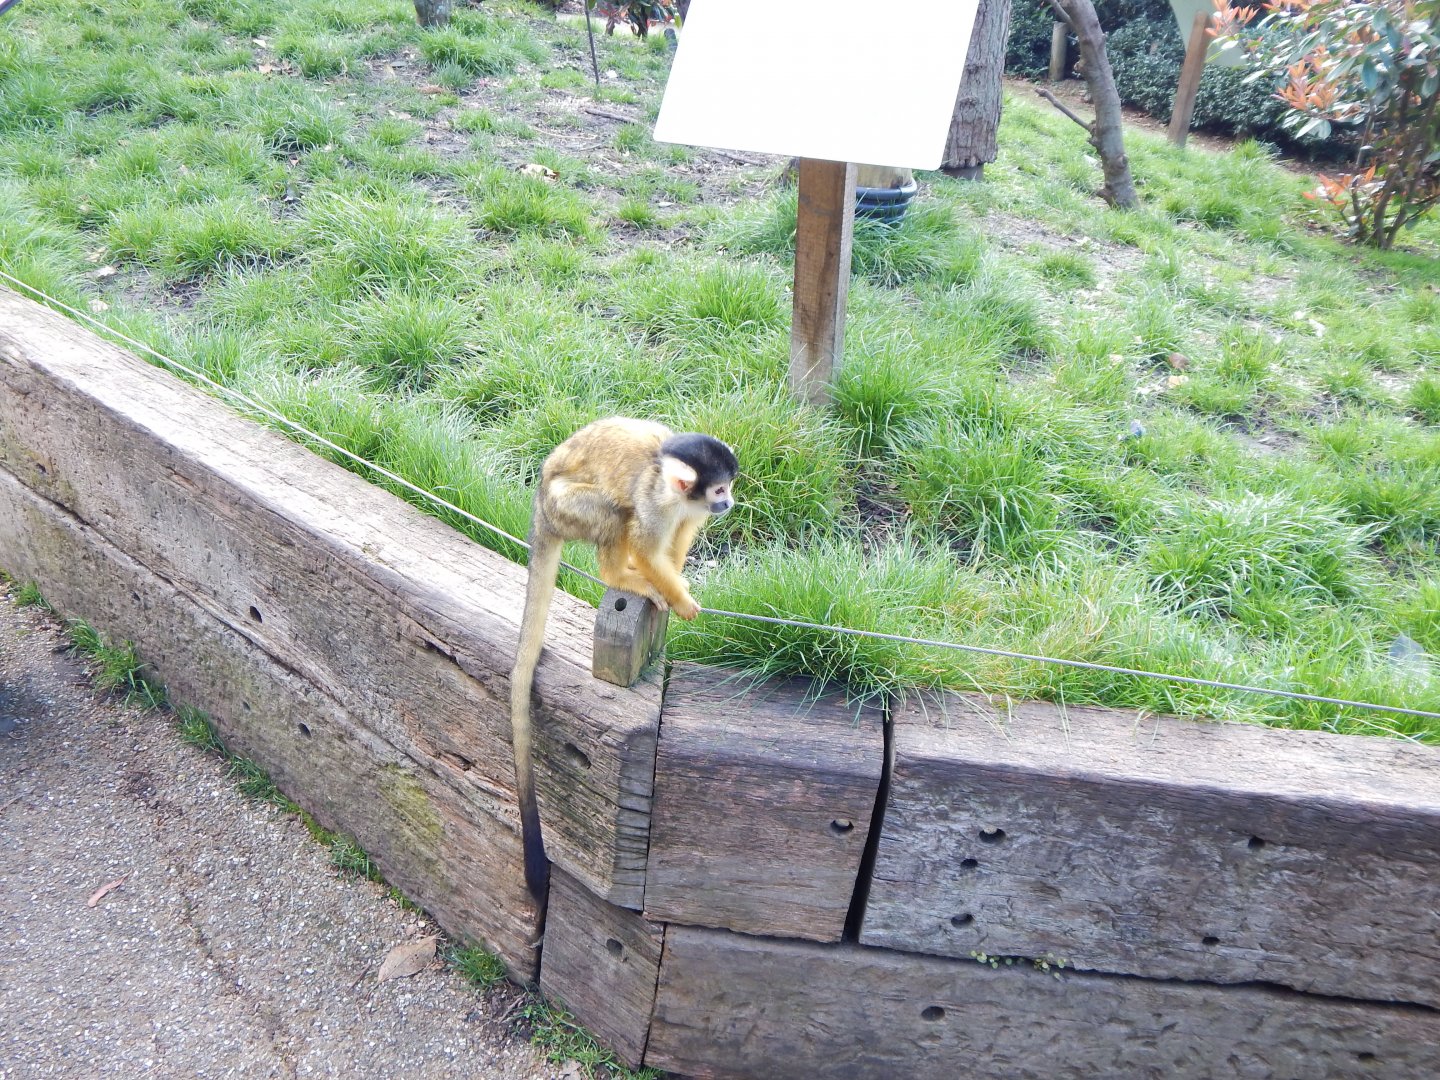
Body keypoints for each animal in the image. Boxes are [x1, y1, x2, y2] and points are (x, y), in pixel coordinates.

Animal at [509, 418, 738, 902]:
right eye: (718, 489)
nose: (728, 502)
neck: (672, 486)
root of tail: (539, 505)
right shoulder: (655, 498)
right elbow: (647, 544)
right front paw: (679, 599)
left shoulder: (687, 509)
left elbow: (677, 540)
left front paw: (676, 583)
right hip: (566, 507)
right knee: (616, 512)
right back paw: (619, 574)